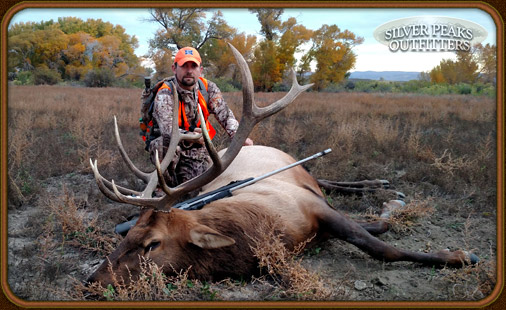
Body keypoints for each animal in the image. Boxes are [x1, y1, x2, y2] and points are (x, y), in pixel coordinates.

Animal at [86, 43, 478, 288]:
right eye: (128, 235)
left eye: (151, 244)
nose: (92, 279)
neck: (272, 231)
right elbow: (375, 229)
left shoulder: (313, 206)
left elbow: (382, 244)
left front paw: (460, 255)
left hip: (296, 166)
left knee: (326, 178)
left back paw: (381, 185)